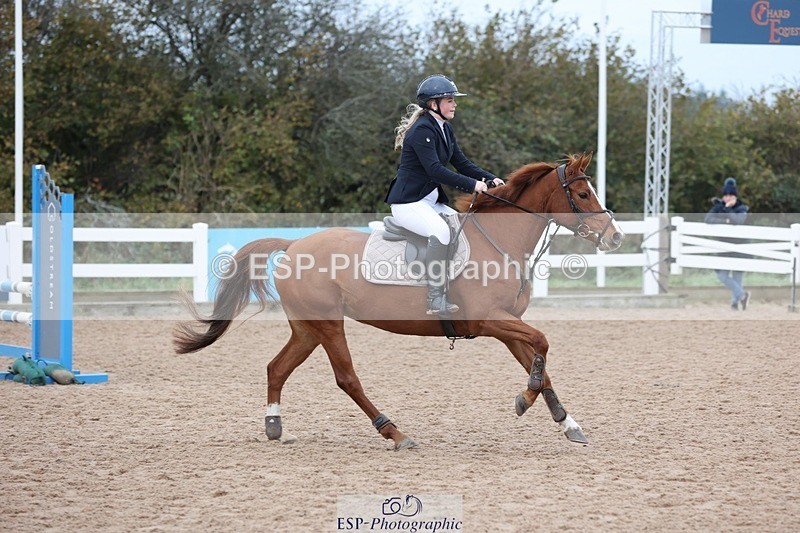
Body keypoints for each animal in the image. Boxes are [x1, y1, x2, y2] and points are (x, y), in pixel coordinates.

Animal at [174, 152, 624, 450]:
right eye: (583, 194)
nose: (616, 237)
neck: (500, 242)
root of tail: (295, 244)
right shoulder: (489, 321)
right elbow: (543, 344)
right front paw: (523, 402)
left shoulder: (508, 325)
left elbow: (541, 364)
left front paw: (567, 423)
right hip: (328, 324)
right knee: (346, 378)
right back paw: (394, 431)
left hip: (307, 327)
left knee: (277, 367)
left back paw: (273, 426)